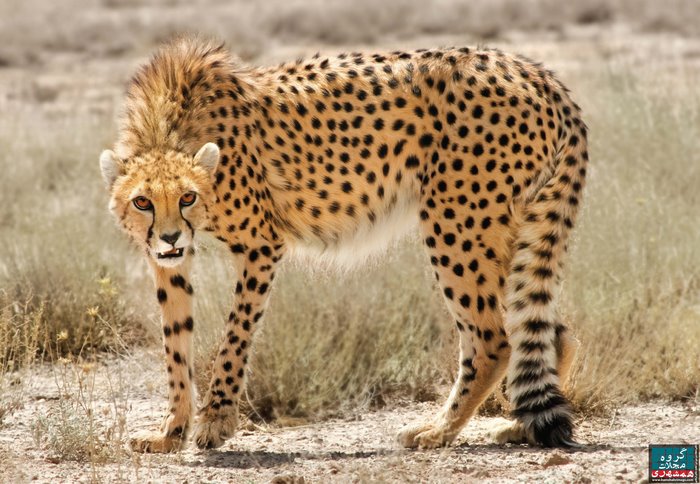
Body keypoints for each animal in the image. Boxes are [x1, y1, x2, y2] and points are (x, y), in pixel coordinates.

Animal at [99, 36, 588, 453]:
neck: (172, 124)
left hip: (457, 225)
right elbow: (175, 345)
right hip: (504, 228)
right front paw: (170, 432)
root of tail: (534, 70)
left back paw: (439, 431)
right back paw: (519, 425)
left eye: (188, 197)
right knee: (549, 330)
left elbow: (233, 339)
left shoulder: (260, 244)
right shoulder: (167, 262)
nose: (170, 236)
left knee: (494, 339)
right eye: (142, 201)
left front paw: (216, 422)